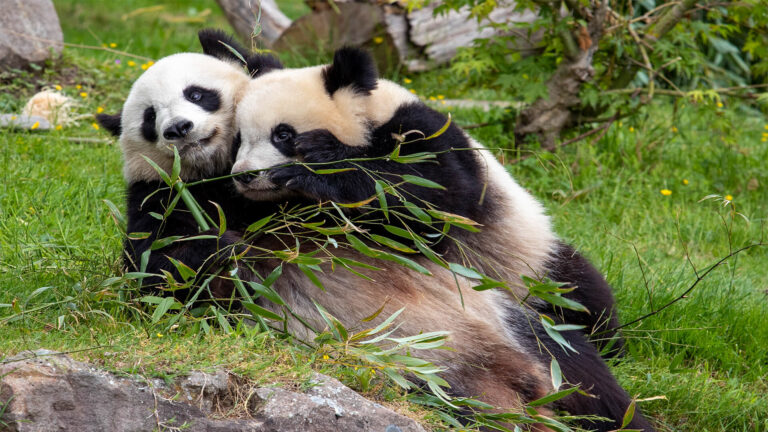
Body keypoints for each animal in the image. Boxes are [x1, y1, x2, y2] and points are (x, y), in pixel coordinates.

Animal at [96, 29, 282, 299]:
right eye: (150, 117)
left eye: (195, 94)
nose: (178, 127)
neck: (213, 172)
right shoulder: (159, 194)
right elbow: (152, 266)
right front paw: (223, 243)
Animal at [226, 48, 654, 431]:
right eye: (238, 138)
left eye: (283, 134)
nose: (245, 176)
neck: (372, 115)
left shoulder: (425, 135)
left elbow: (434, 198)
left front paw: (319, 165)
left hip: (530, 264)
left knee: (582, 298)